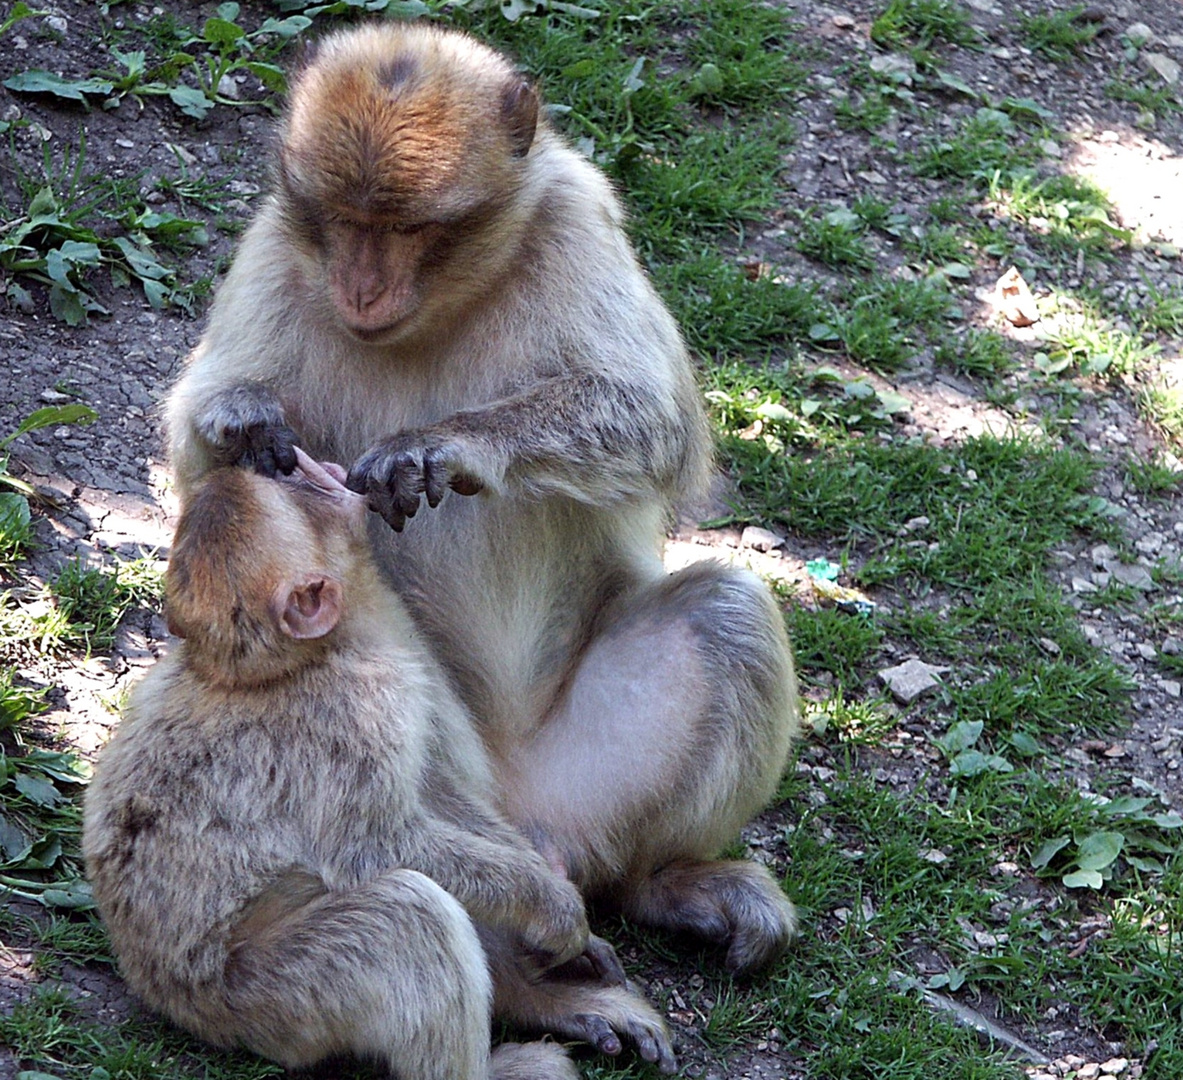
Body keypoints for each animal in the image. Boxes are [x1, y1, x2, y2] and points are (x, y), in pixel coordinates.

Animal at [83, 451, 676, 1074]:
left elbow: (436, 790)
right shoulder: (359, 705)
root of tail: (164, 992)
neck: (301, 660)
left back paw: (534, 998)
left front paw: (561, 933)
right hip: (263, 998)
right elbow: (372, 847)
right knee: (407, 914)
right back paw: (490, 1067)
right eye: (297, 498)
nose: (293, 468)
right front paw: (551, 905)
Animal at [166, 18, 799, 979]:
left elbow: (658, 425)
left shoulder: (577, 219)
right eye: (344, 222)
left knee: (726, 609)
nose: (360, 287)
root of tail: (518, 805)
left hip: (587, 782)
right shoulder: (277, 241)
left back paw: (659, 881)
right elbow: (198, 468)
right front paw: (240, 422)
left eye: (406, 227)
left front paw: (449, 444)